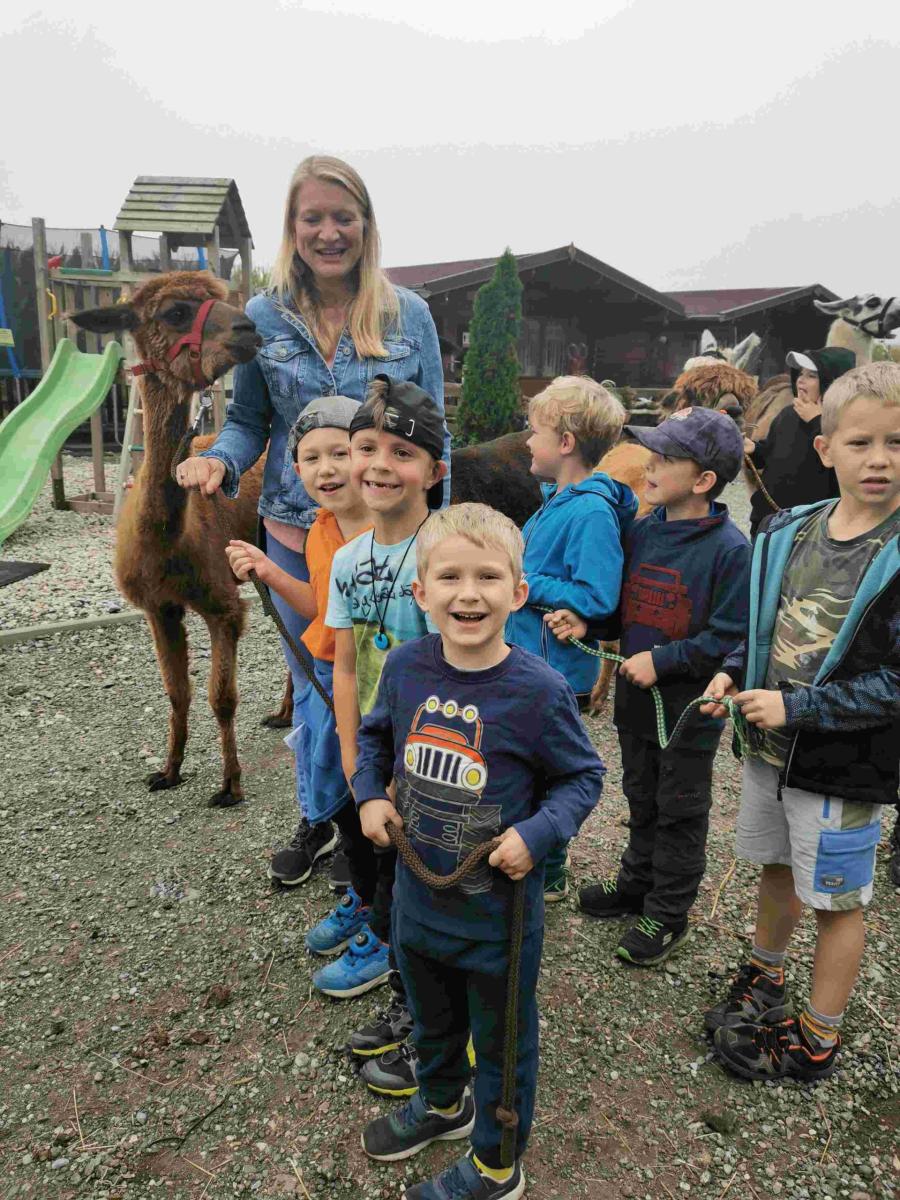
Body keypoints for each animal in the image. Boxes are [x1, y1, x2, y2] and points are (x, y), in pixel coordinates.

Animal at [72, 271, 263, 807]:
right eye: (175, 312)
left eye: (225, 299)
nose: (248, 329)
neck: (167, 545)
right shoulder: (159, 607)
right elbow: (178, 693)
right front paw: (169, 769)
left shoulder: (222, 605)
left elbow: (223, 698)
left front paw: (230, 784)